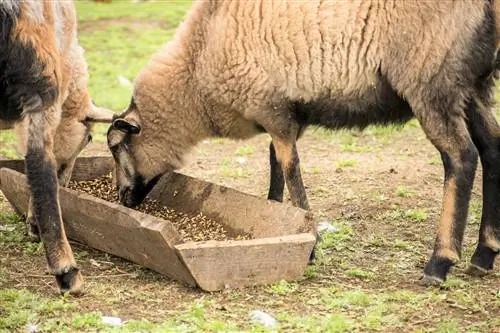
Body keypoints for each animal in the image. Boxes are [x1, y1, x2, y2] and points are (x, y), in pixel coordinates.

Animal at [107, 0, 500, 286]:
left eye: (115, 147)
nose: (121, 198)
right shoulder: (287, 114)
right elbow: (275, 166)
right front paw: (275, 215)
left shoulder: (274, 109)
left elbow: (289, 169)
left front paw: (309, 246)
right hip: (472, 84)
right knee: (492, 148)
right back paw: (483, 255)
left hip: (432, 79)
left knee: (461, 156)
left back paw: (439, 263)